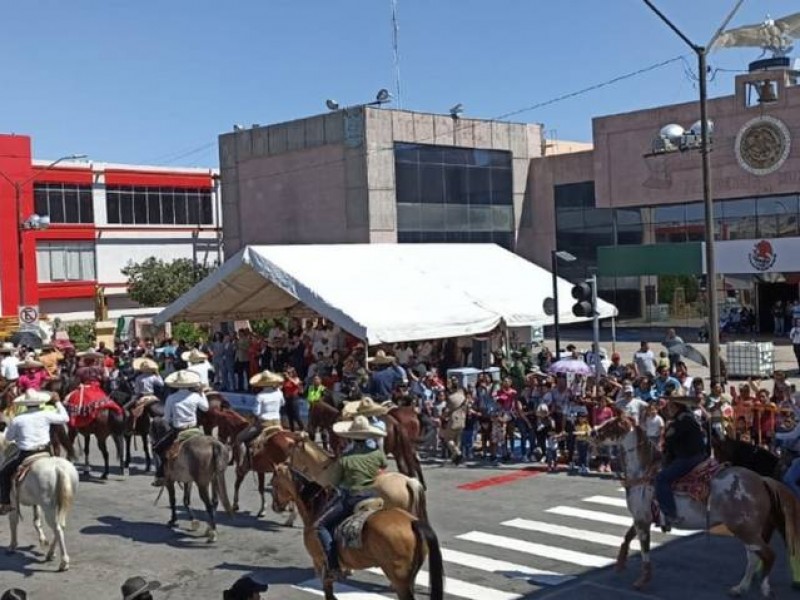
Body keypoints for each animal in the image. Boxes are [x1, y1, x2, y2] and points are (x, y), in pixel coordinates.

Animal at [0, 432, 79, 572]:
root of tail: (59, 469)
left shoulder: (13, 501)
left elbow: (13, 521)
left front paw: (12, 546)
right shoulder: (36, 503)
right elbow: (36, 521)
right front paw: (42, 540)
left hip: (49, 508)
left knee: (57, 528)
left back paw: (64, 562)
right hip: (62, 504)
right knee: (61, 525)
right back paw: (50, 553)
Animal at [270, 464, 444, 600]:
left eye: (273, 483)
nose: (275, 506)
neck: (318, 507)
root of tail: (413, 522)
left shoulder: (319, 562)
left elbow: (328, 591)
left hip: (399, 580)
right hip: (409, 578)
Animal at [596, 418, 800, 596]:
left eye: (612, 424)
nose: (593, 432)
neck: (643, 472)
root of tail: (762, 480)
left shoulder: (642, 520)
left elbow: (644, 549)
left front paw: (642, 580)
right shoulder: (641, 518)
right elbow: (627, 536)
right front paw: (620, 562)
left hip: (744, 529)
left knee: (768, 555)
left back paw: (763, 588)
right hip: (748, 529)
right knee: (754, 557)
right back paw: (740, 588)